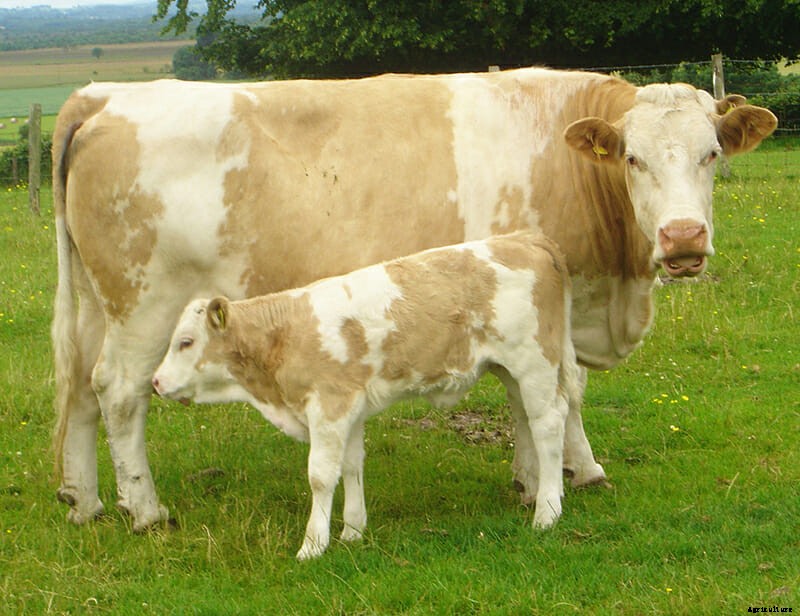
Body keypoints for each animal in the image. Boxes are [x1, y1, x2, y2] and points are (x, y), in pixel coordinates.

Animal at [152, 231, 578, 558]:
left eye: (186, 342)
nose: (155, 382)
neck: (286, 335)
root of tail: (526, 238)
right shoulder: (350, 407)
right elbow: (351, 465)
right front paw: (352, 531)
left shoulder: (328, 405)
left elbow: (321, 475)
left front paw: (313, 546)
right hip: (511, 371)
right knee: (528, 418)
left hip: (534, 362)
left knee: (548, 425)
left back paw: (547, 512)